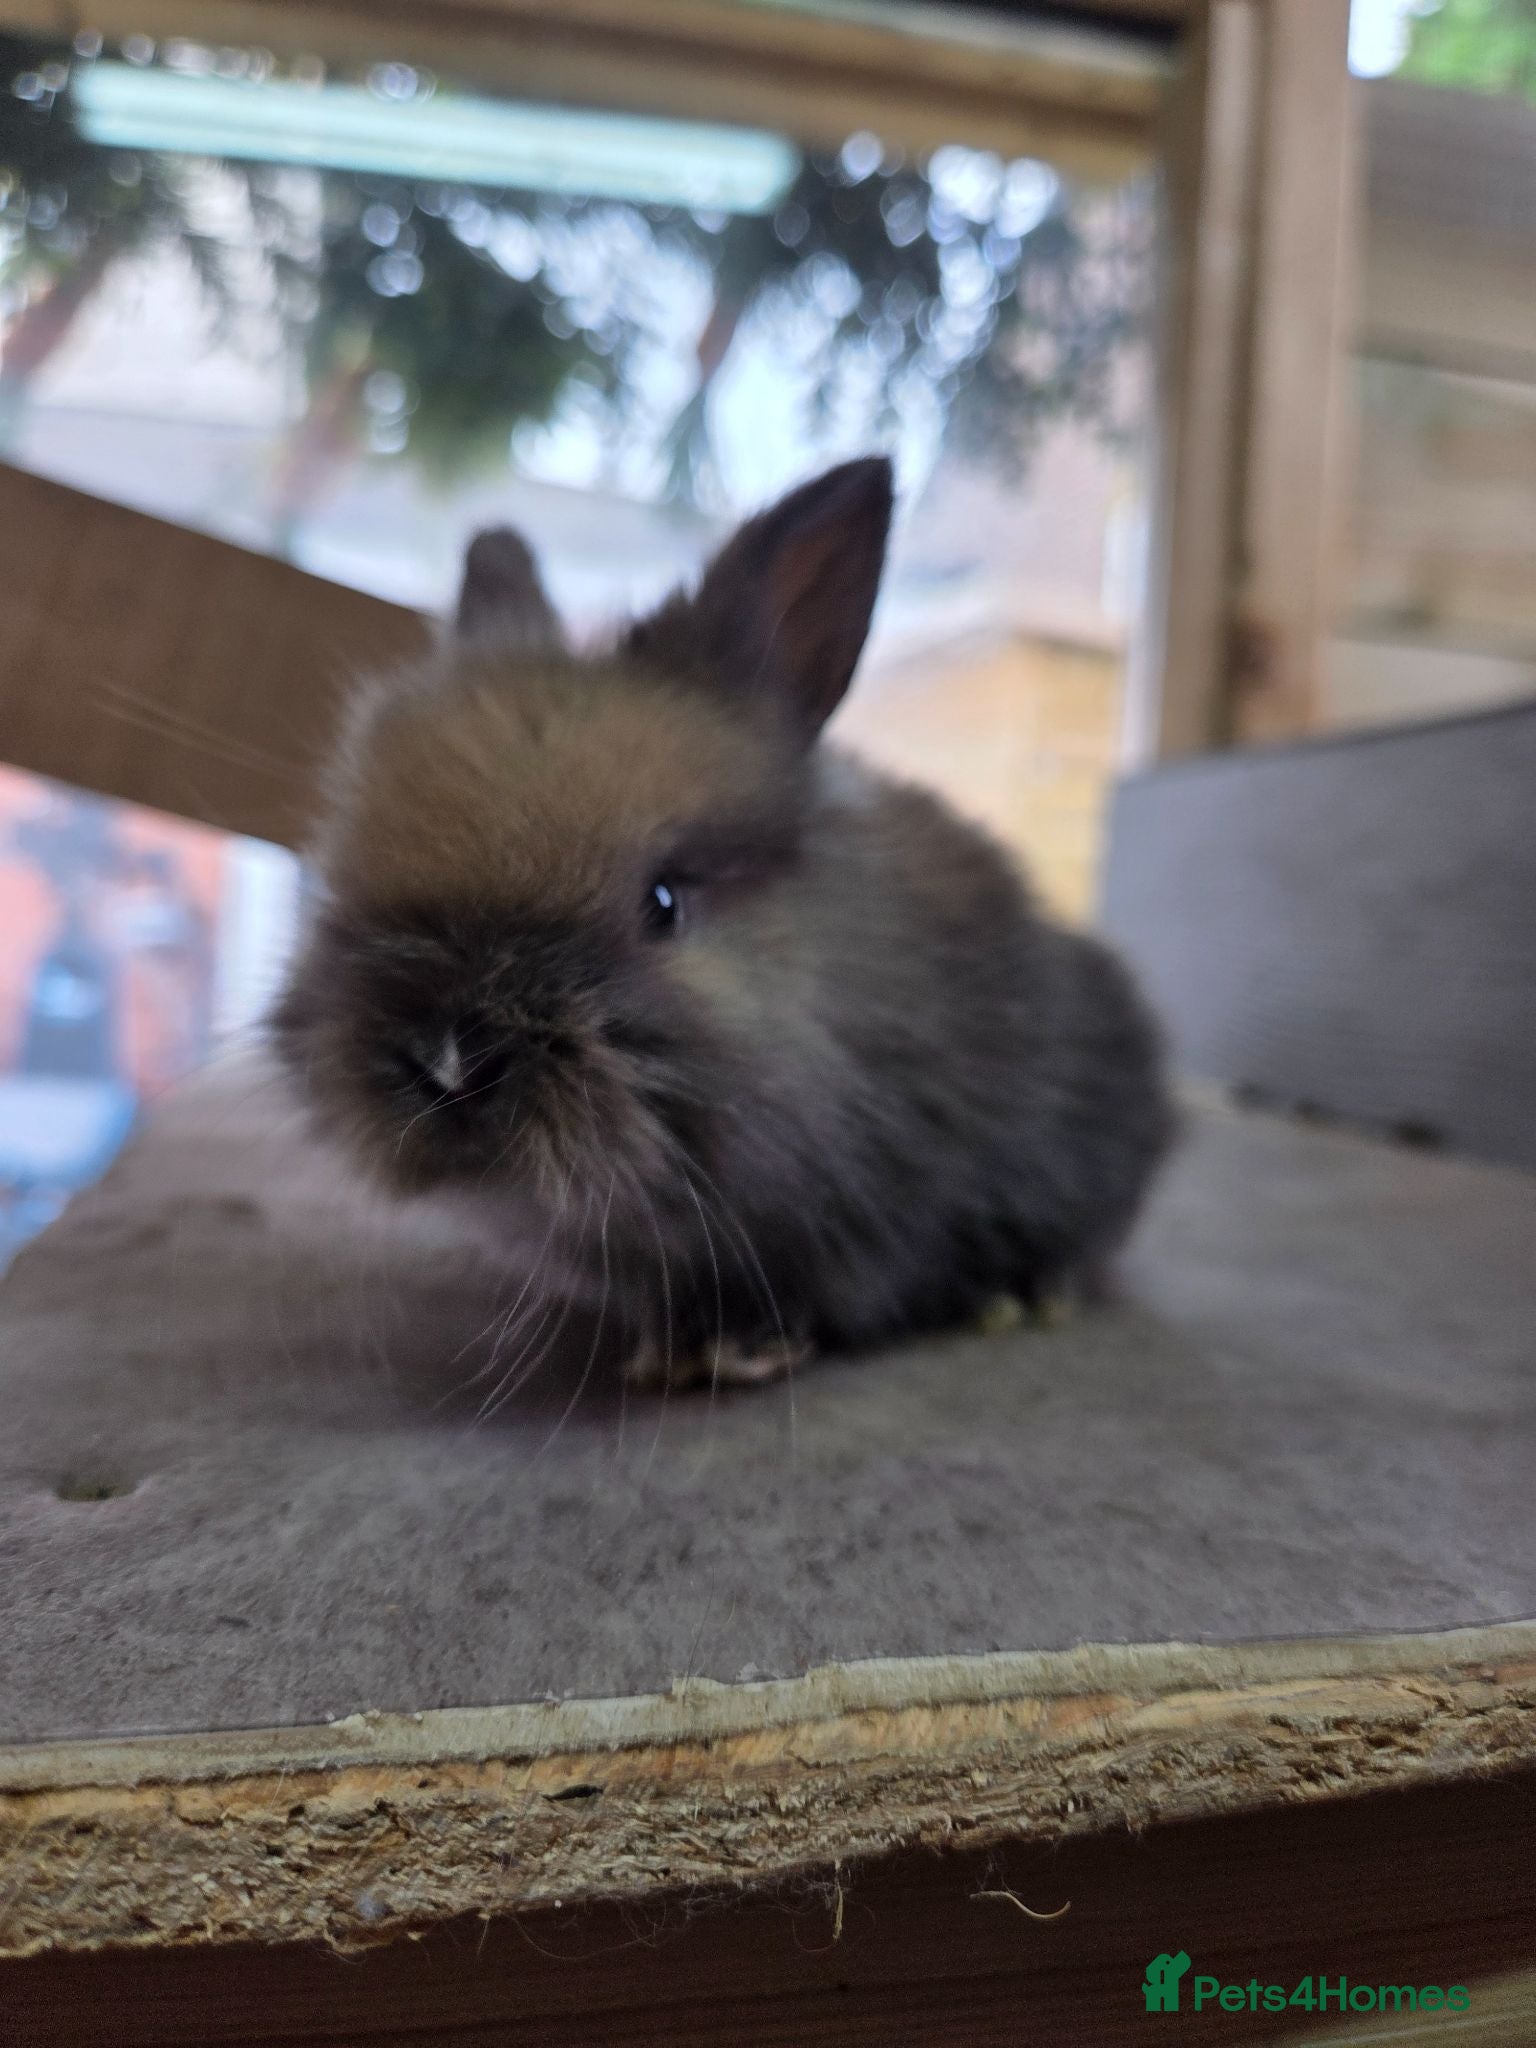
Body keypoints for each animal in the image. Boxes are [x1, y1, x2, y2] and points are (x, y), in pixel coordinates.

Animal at [272, 457, 1174, 1390]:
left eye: (664, 902)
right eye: (341, 877)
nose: (446, 1063)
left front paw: (729, 1347)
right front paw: (676, 1343)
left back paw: (1019, 1295)